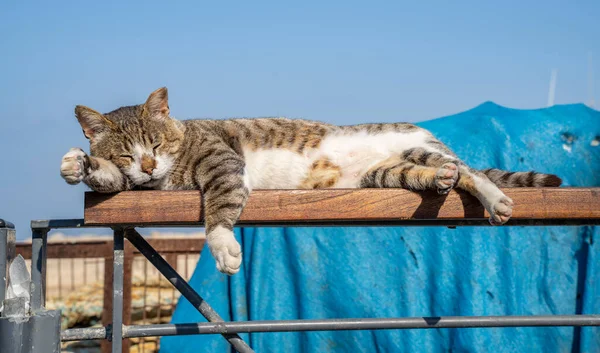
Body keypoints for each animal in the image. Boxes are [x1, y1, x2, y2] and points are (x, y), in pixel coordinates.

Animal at [61, 86, 564, 274]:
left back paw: (495, 198)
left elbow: (219, 207)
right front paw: (77, 164)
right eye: (127, 153)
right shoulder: (138, 185)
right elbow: (110, 180)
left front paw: (223, 247)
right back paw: (438, 178)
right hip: (389, 172)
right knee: (441, 172)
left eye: (157, 143)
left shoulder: (221, 159)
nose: (148, 165)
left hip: (419, 146)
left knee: (473, 171)